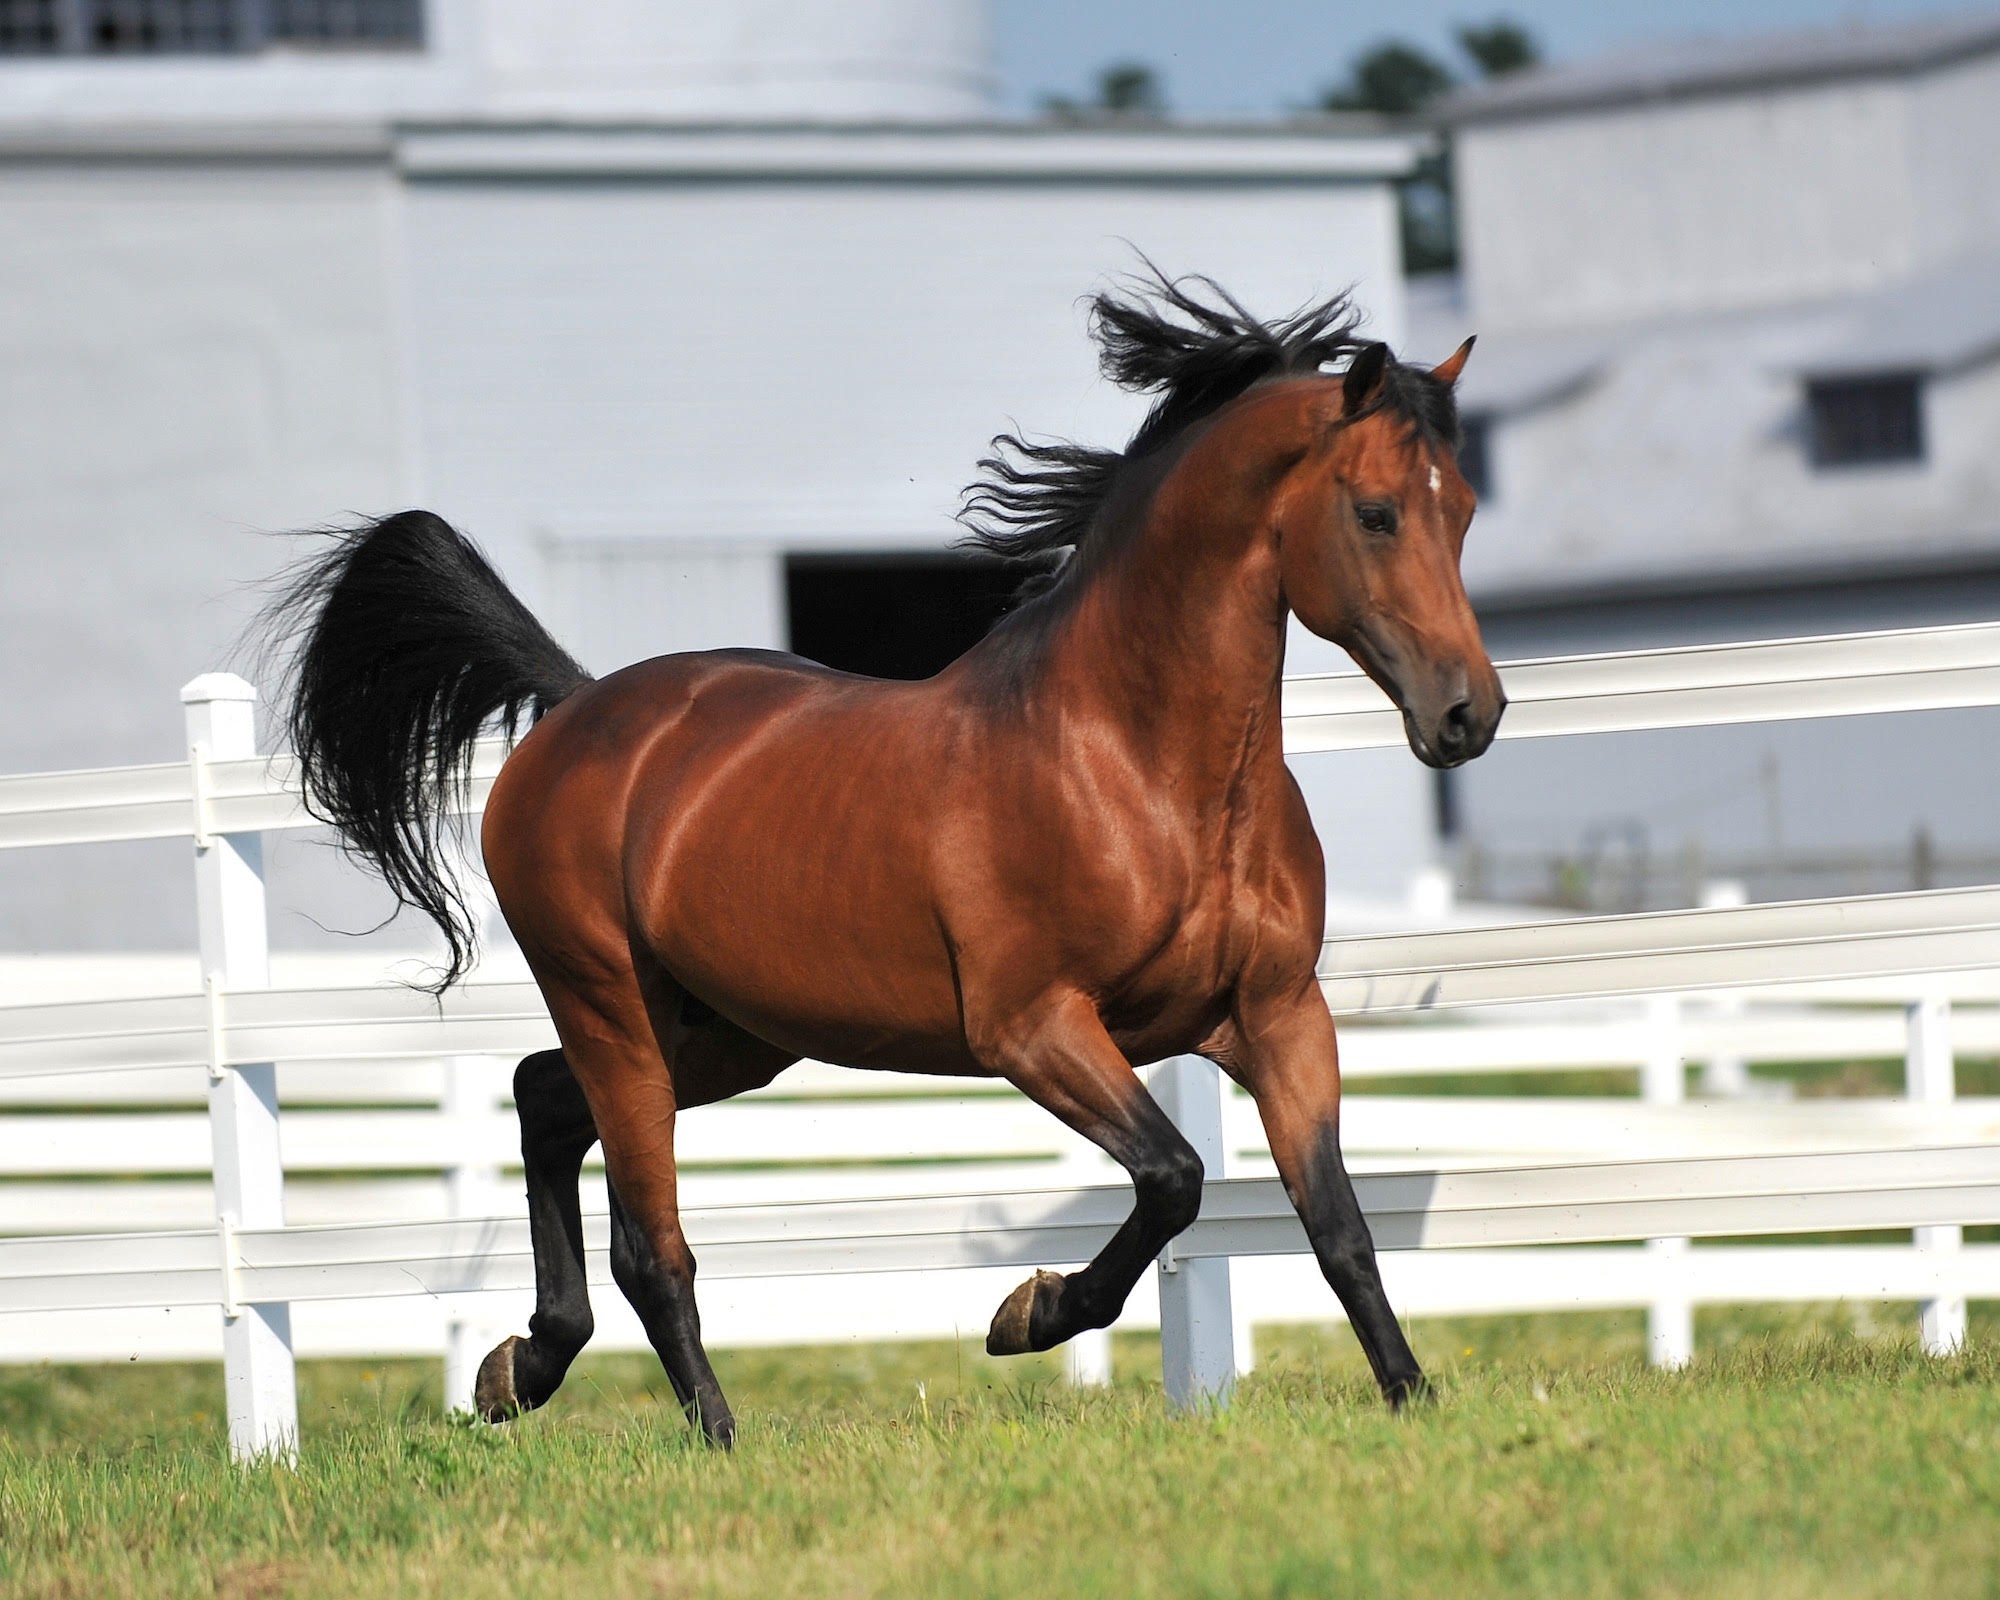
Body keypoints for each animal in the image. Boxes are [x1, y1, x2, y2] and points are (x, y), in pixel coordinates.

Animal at [274, 278, 1504, 1448]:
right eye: (1376, 512)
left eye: (1464, 510)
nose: (1468, 716)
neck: (1137, 768)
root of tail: (576, 709)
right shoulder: (1033, 1027)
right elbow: (1173, 1179)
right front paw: (1029, 1314)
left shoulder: (1278, 1016)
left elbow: (1337, 1225)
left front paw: (1411, 1399)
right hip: (610, 1006)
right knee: (649, 1243)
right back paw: (710, 1436)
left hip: (728, 1034)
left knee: (541, 1099)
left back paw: (516, 1369)